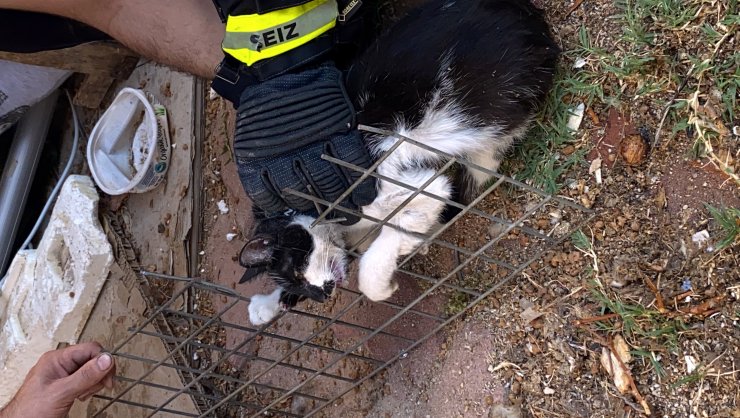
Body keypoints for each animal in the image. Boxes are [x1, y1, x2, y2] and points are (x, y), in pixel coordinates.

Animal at [240, 0, 556, 324]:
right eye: (298, 284)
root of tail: (533, 21)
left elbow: (383, 249)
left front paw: (383, 285)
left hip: (491, 130)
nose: (321, 295)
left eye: (297, 271)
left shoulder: (411, 188)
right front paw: (268, 304)